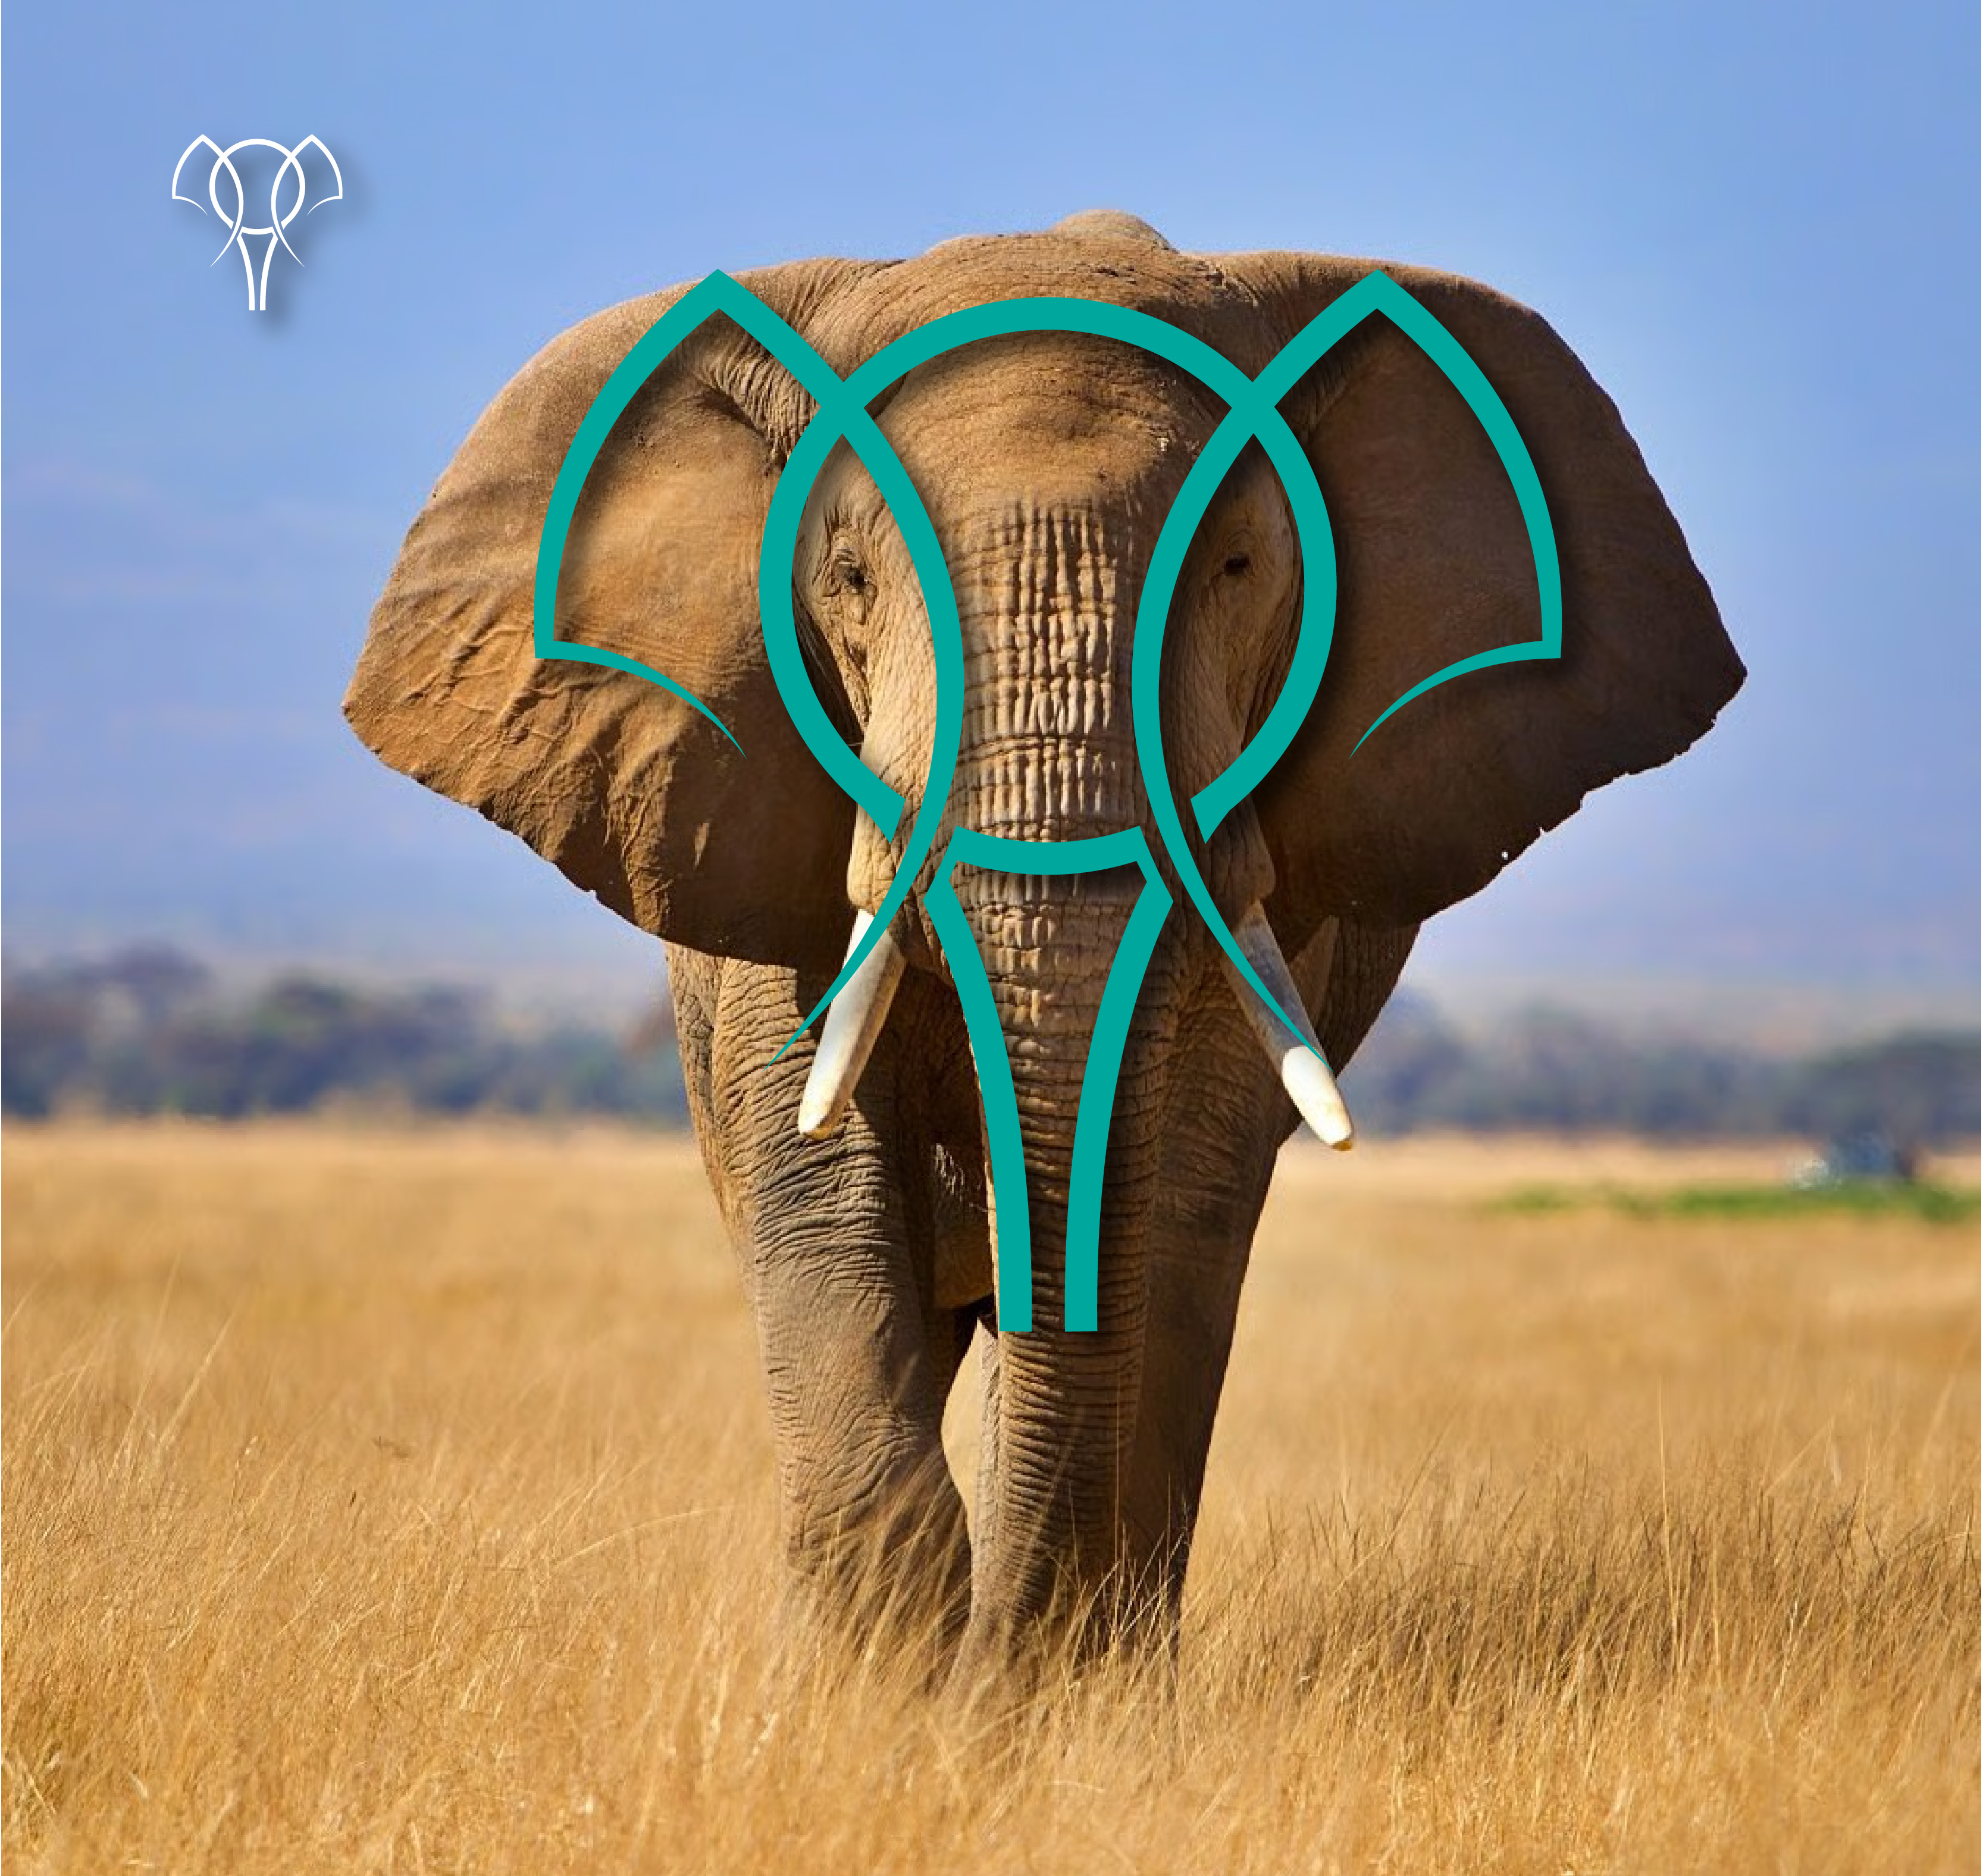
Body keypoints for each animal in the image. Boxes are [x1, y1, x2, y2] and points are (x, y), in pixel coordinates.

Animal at [344, 210, 1742, 1684]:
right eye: (849, 578)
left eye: (1238, 568)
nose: (993, 1677)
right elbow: (817, 1179)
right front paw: (864, 1693)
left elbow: (1172, 1204)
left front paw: (1053, 1697)